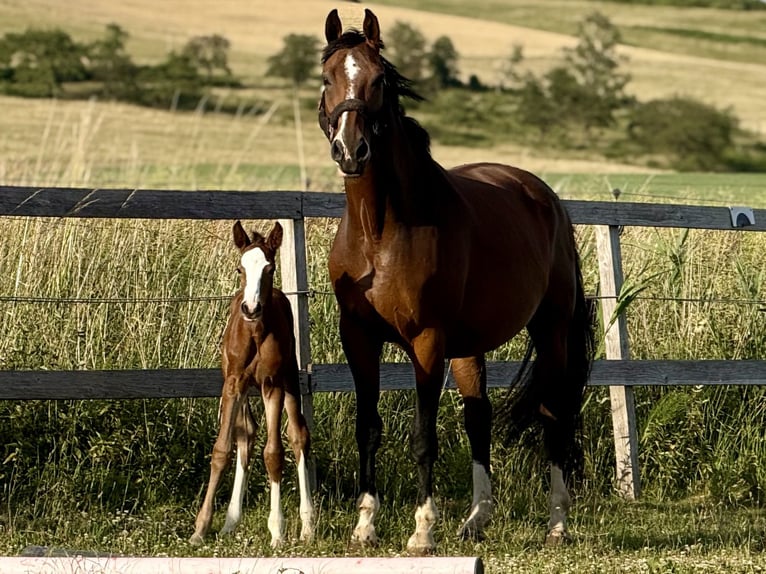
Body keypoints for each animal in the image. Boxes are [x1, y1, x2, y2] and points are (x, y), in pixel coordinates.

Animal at [190, 221, 314, 547]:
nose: (250, 308)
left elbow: (274, 453)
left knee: (298, 436)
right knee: (246, 434)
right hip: (244, 389)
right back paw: (230, 523)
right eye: (240, 268)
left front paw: (277, 531)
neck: (256, 332)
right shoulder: (234, 382)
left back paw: (308, 525)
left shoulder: (272, 385)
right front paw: (200, 528)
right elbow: (222, 449)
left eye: (270, 268)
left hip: (290, 380)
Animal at [318, 9, 595, 553]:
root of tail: (546, 198)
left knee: (553, 414)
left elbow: (424, 437)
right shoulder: (358, 338)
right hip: (470, 346)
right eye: (327, 78)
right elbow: (368, 427)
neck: (381, 231)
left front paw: (422, 530)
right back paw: (476, 519)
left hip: (550, 331)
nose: (351, 151)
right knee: (478, 417)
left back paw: (557, 522)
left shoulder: (427, 342)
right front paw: (365, 526)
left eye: (378, 80)